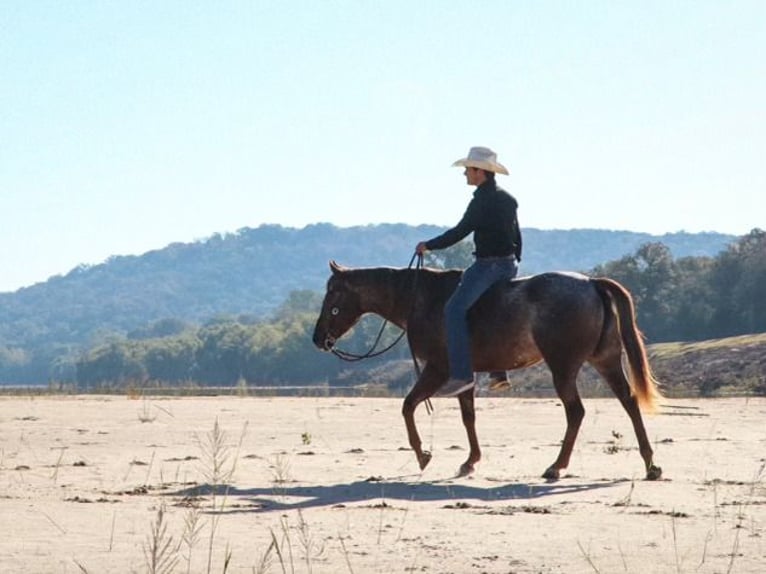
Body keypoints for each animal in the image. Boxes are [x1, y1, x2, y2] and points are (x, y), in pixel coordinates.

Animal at [314, 264, 664, 484]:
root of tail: (592, 284)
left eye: (333, 294)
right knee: (629, 402)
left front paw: (422, 454)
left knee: (576, 411)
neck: (420, 299)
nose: (318, 338)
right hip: (605, 361)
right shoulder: (462, 376)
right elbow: (468, 417)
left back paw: (556, 466)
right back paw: (650, 464)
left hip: (563, 367)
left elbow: (408, 406)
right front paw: (471, 461)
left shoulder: (437, 370)